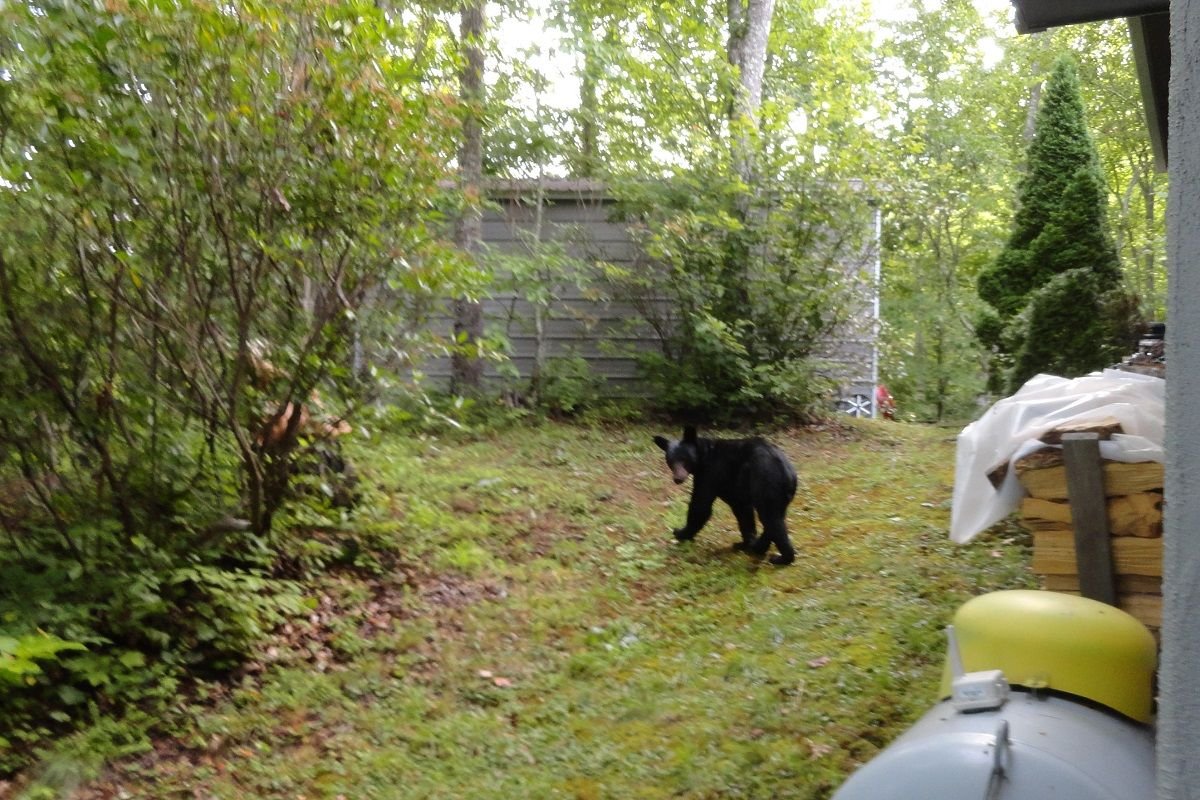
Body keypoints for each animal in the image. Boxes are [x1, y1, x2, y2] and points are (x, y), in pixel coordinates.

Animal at [653, 426, 798, 565]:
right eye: (670, 461)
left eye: (683, 459)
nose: (677, 479)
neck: (704, 456)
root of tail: (788, 473)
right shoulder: (735, 488)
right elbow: (742, 511)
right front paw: (745, 543)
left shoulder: (710, 473)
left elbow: (701, 505)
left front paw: (681, 532)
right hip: (779, 495)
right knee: (775, 518)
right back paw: (758, 547)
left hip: (766, 484)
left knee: (772, 519)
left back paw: (783, 558)